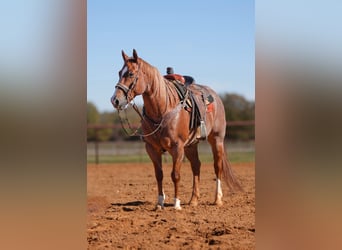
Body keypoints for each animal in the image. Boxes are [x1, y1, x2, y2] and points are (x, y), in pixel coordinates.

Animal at [111, 48, 242, 209]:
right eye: (119, 72)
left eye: (130, 74)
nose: (115, 100)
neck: (162, 110)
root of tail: (215, 97)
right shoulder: (152, 148)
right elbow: (159, 175)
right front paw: (160, 203)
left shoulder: (177, 147)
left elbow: (175, 175)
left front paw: (176, 204)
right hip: (191, 145)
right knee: (196, 166)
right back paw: (193, 200)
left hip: (216, 139)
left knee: (217, 166)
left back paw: (217, 199)